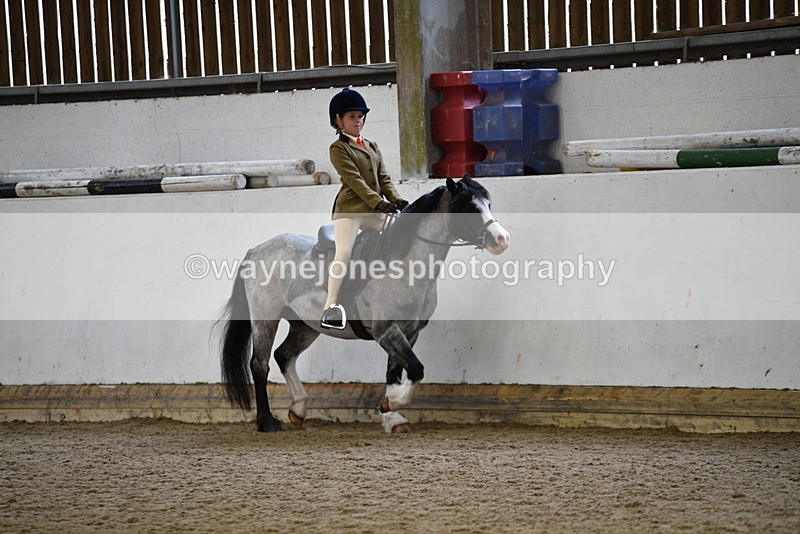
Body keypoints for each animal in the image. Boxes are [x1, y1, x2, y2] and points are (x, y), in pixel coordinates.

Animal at [216, 176, 511, 433]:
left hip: (305, 325)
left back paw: (298, 410)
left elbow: (396, 372)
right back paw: (267, 422)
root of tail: (258, 249)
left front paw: (391, 415)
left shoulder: (409, 332)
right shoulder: (386, 330)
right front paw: (393, 404)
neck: (405, 266)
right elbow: (416, 369)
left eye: (488, 203)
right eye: (469, 207)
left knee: (284, 355)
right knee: (260, 363)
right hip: (265, 317)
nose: (502, 240)